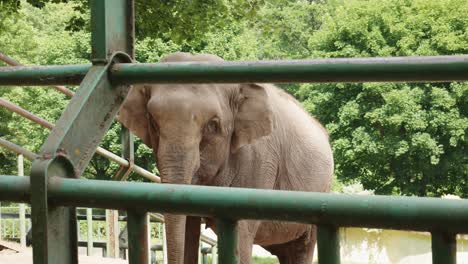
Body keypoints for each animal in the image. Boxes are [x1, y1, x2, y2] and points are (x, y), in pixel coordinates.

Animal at [119, 52, 334, 264]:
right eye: (153, 122)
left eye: (212, 125)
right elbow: (188, 227)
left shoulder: (260, 160)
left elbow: (241, 233)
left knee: (302, 248)